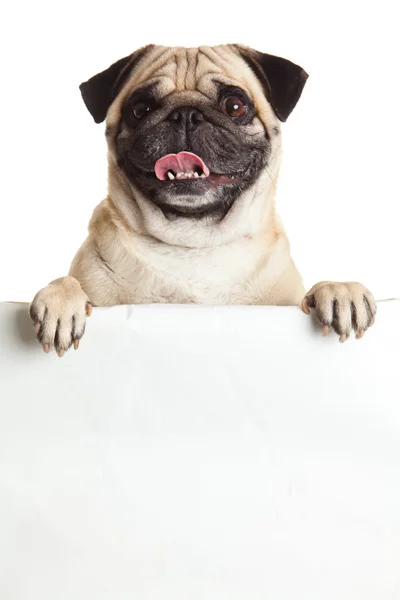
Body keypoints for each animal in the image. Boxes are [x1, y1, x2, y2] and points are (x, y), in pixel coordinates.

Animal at [29, 47, 376, 356]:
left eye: (235, 106)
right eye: (140, 109)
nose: (185, 114)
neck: (195, 238)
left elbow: (314, 290)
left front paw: (339, 290)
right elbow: (68, 281)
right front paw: (60, 300)